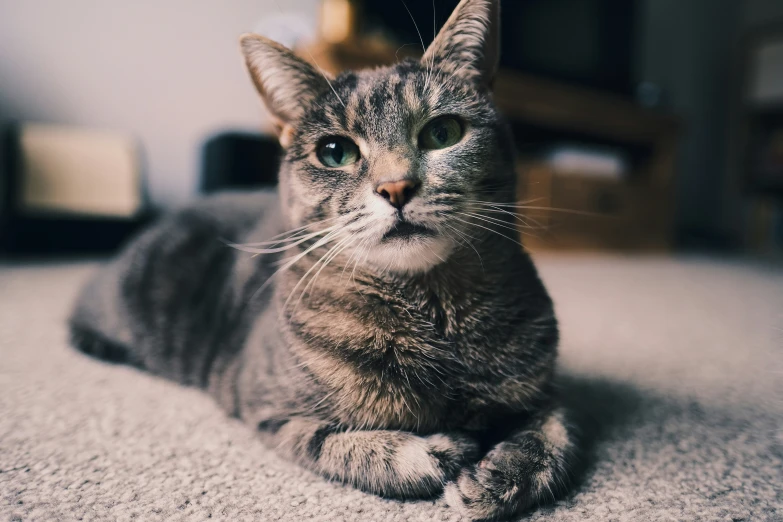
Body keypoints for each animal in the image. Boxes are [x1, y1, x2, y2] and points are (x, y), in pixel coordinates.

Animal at [69, 0, 576, 516]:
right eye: (335, 152)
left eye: (443, 132)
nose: (396, 187)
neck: (431, 311)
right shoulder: (270, 408)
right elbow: (353, 447)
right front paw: (439, 451)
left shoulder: (545, 389)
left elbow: (556, 436)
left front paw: (503, 473)